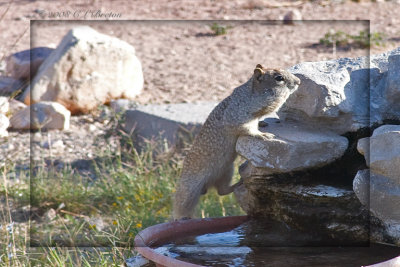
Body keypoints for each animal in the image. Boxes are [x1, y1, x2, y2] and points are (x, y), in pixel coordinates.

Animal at [173, 64, 300, 220]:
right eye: (279, 78)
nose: (299, 81)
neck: (248, 96)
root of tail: (206, 187)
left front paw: (263, 124)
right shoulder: (240, 119)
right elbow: (250, 130)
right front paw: (264, 135)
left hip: (227, 171)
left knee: (222, 191)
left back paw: (238, 183)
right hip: (189, 190)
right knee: (183, 206)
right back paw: (182, 218)